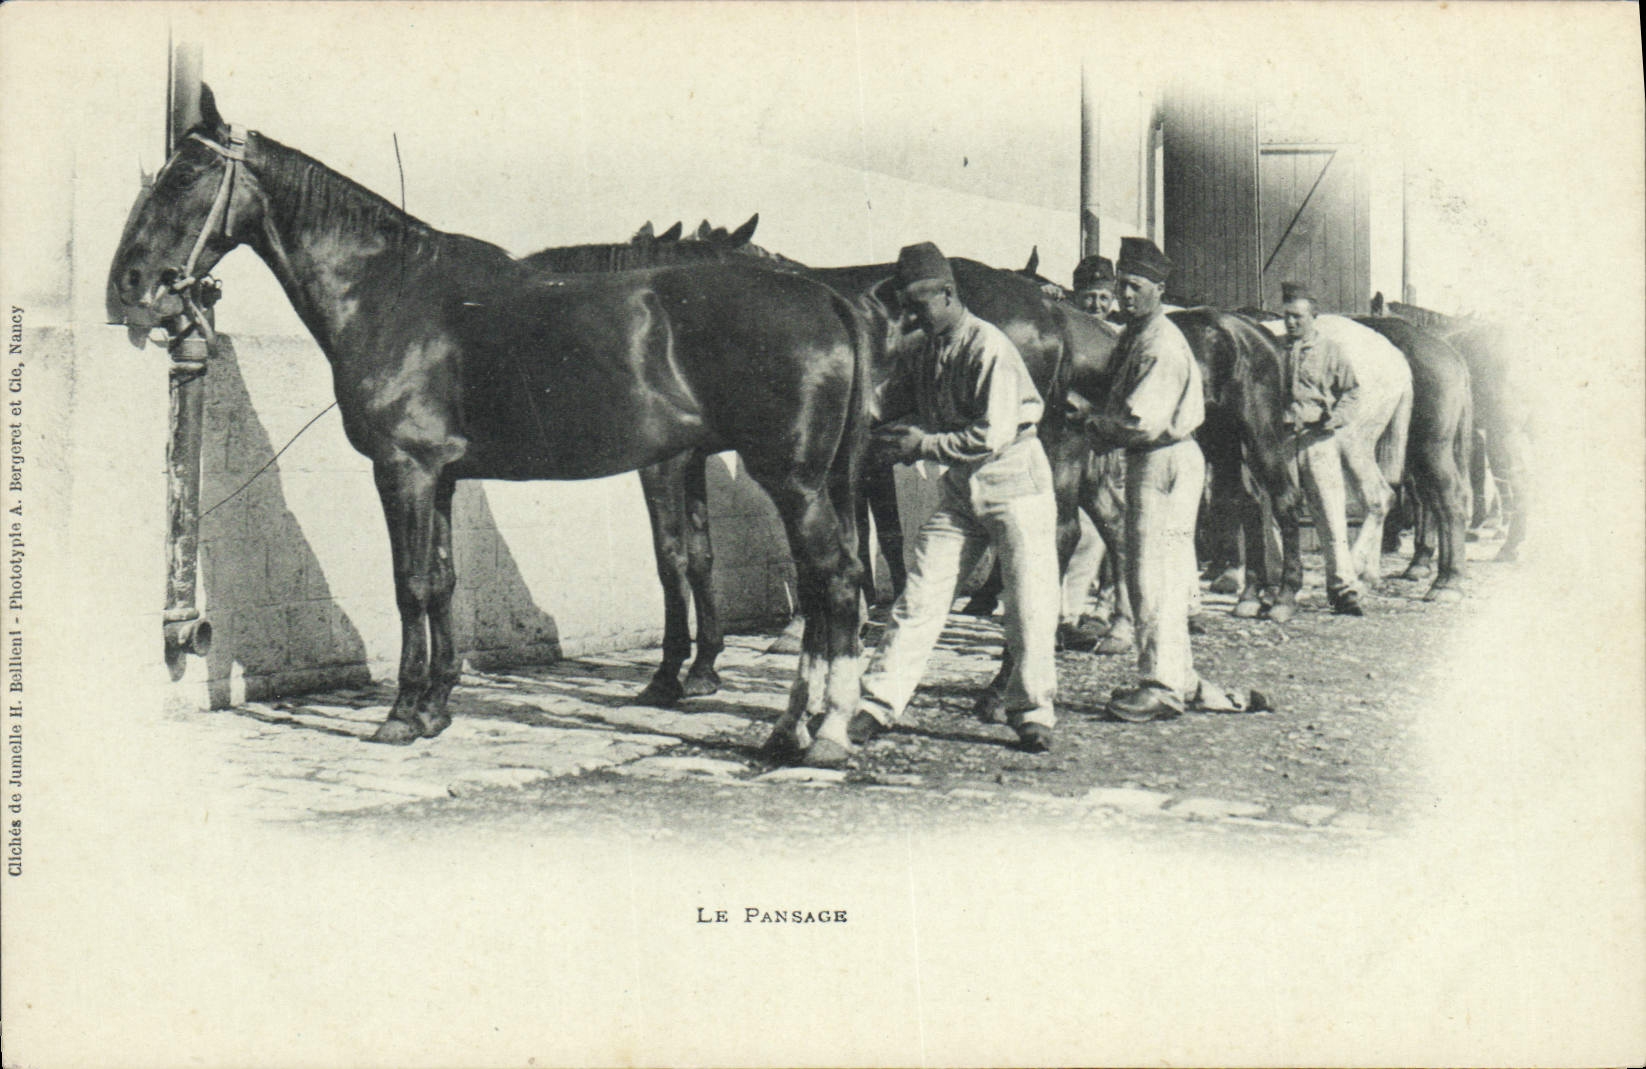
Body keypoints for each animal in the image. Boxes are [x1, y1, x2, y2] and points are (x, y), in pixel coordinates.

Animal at [106, 86, 873, 765]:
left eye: (185, 176)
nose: (128, 282)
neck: (392, 292)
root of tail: (826, 296)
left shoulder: (404, 470)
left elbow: (411, 584)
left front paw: (401, 714)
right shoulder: (441, 477)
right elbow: (443, 580)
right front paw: (436, 708)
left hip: (794, 482)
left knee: (833, 581)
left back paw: (825, 735)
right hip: (814, 483)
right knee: (831, 583)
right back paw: (793, 728)